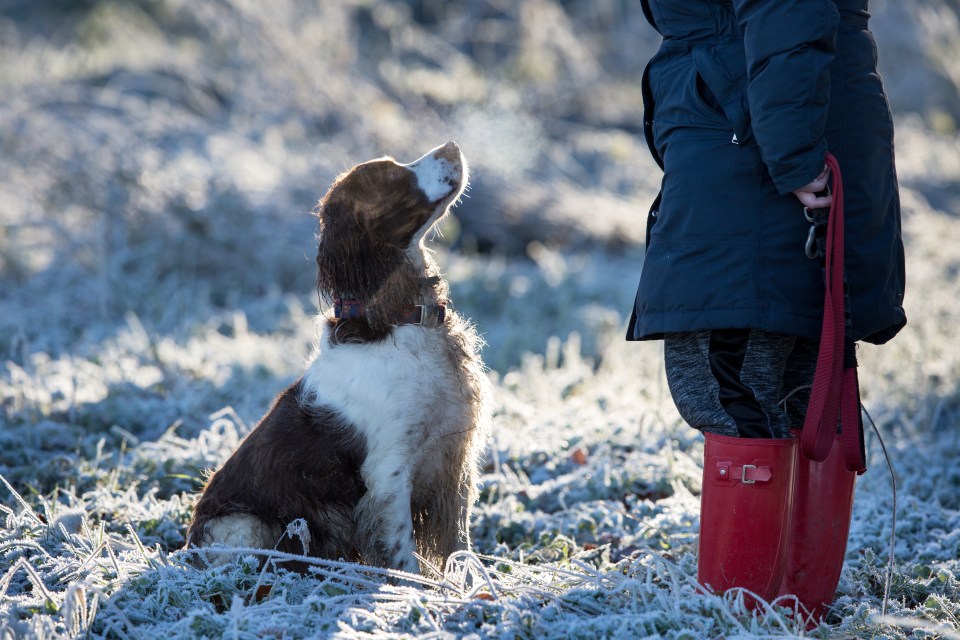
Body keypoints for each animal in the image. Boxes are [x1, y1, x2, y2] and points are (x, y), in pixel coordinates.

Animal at [185, 144, 492, 576]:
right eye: (391, 174)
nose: (452, 146)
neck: (400, 321)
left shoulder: (455, 461)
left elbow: (459, 547)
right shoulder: (389, 472)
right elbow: (403, 555)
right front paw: (415, 590)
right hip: (244, 524)